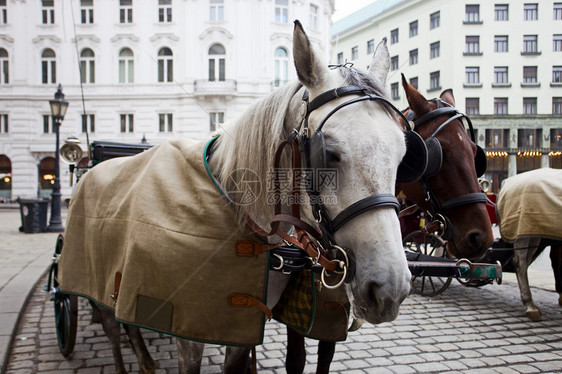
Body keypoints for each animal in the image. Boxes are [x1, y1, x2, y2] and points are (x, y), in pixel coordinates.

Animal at [61, 21, 410, 374]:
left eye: (404, 154)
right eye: (328, 153)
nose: (390, 288)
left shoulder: (242, 323)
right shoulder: (186, 330)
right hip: (98, 275)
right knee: (111, 324)